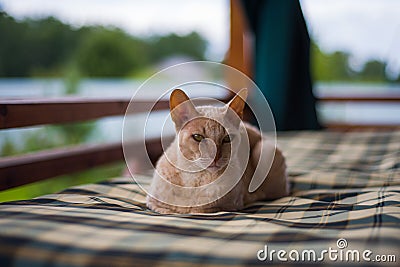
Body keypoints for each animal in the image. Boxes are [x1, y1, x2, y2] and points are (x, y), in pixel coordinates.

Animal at [145, 89, 290, 215]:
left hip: (264, 151)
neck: (194, 179)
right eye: (198, 137)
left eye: (227, 139)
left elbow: (198, 209)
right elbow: (168, 210)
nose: (215, 157)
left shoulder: (229, 205)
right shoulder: (153, 204)